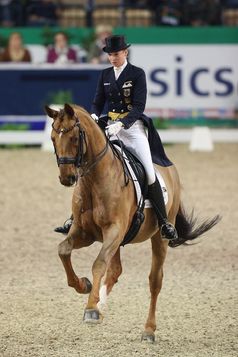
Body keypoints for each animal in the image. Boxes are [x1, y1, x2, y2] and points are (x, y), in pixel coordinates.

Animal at [45, 103, 221, 342]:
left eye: (73, 138)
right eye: (53, 138)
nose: (67, 178)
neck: (95, 180)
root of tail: (169, 169)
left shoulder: (114, 230)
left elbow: (98, 264)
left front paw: (90, 309)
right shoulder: (85, 232)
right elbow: (63, 250)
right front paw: (84, 286)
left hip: (158, 237)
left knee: (155, 281)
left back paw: (148, 330)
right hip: (118, 240)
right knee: (115, 271)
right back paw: (102, 305)